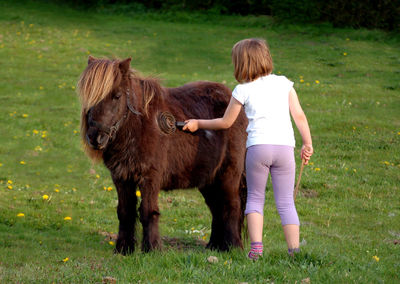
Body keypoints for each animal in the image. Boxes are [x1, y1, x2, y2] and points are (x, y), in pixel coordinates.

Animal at [77, 56, 248, 254]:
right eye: (89, 97)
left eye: (117, 96)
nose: (95, 137)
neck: (139, 126)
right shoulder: (121, 178)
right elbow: (125, 211)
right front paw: (123, 249)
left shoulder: (150, 177)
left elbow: (147, 211)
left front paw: (152, 249)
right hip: (209, 179)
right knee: (216, 208)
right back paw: (215, 247)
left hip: (228, 174)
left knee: (231, 205)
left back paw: (233, 248)